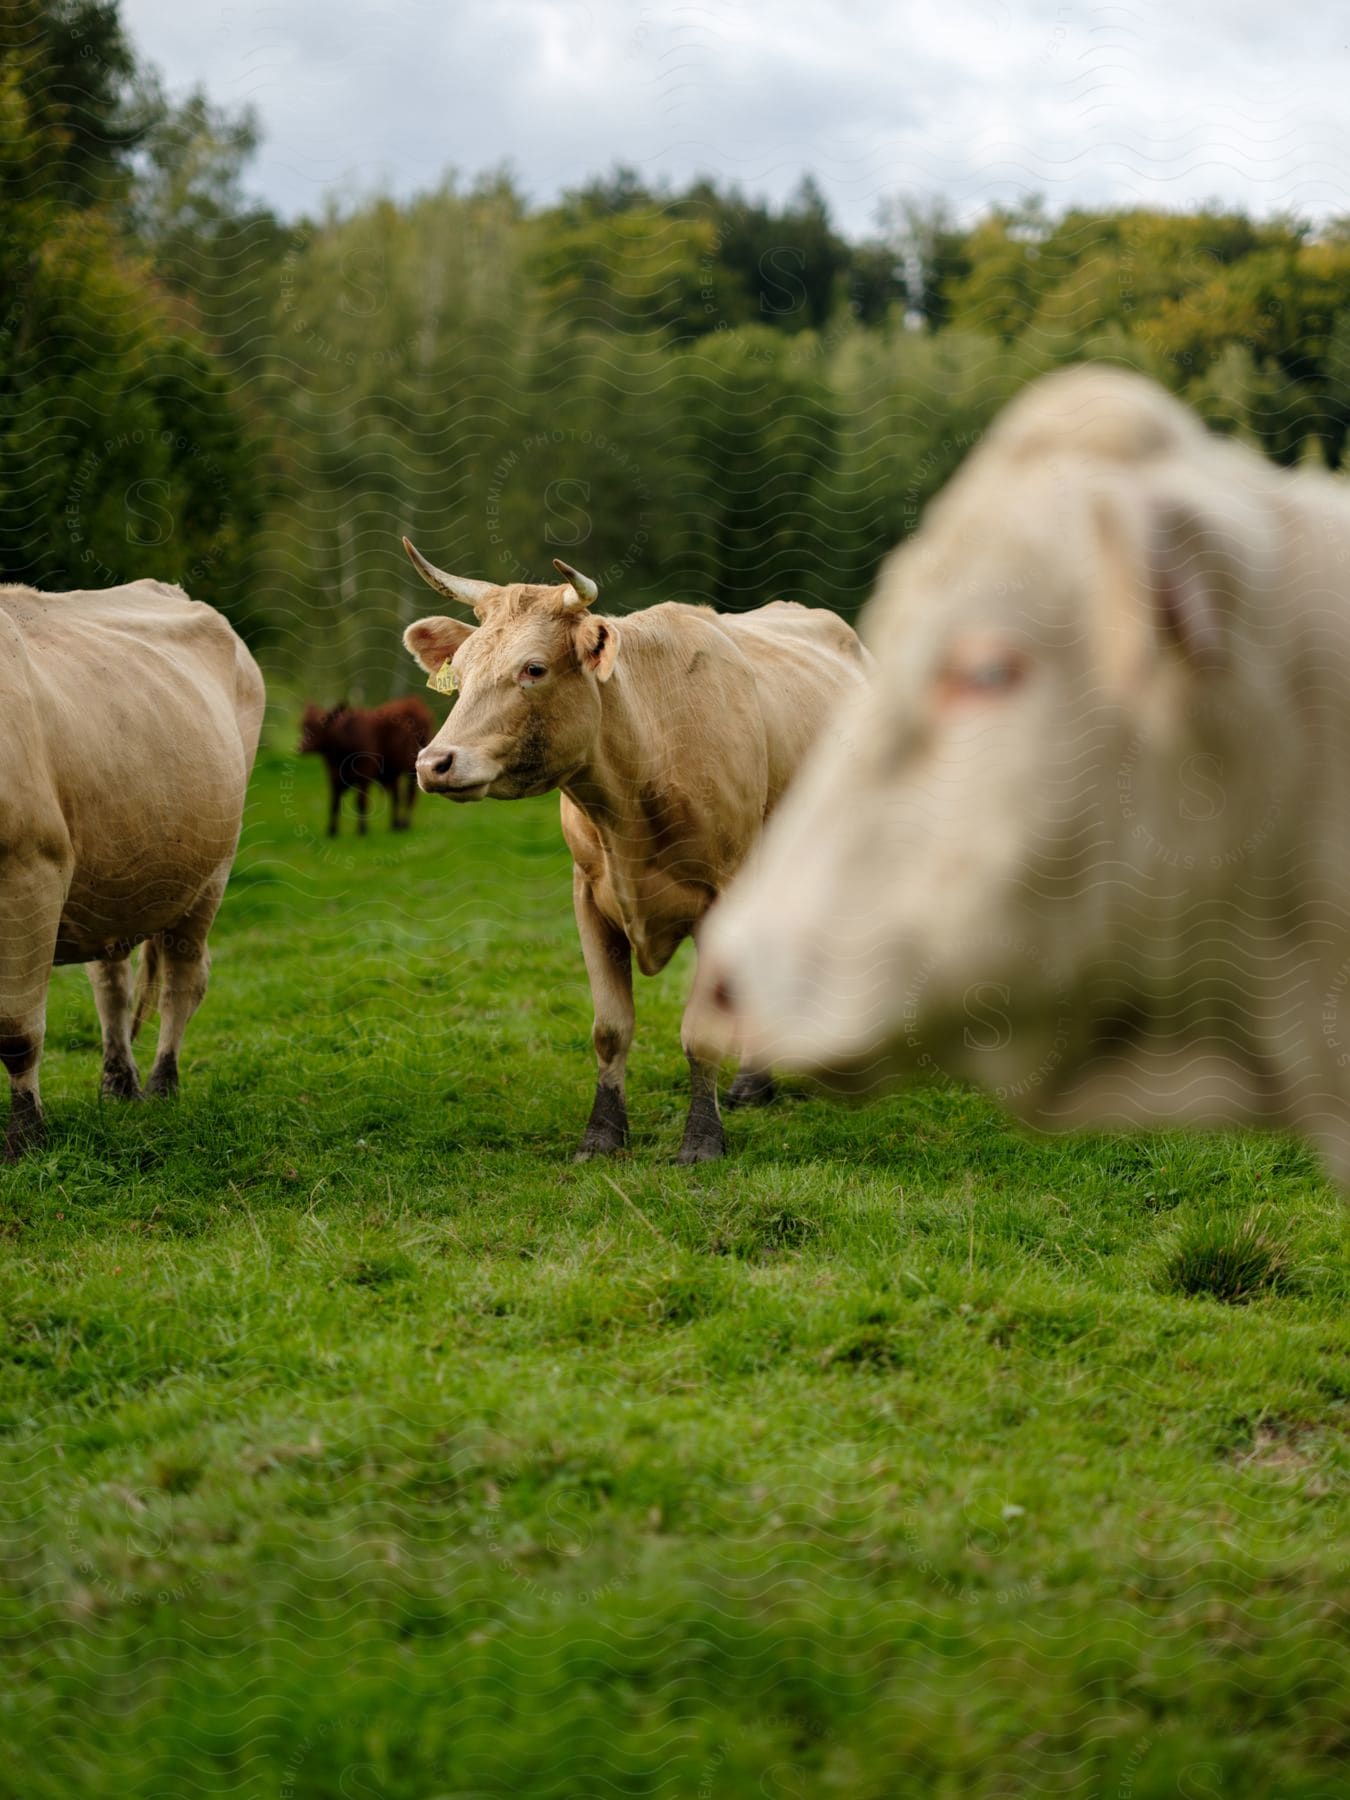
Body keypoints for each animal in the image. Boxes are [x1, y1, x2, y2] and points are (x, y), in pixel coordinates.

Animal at [0, 583, 266, 1159]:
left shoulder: (29, 873)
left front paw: (26, 1139)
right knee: (112, 984)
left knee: (183, 981)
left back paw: (164, 1086)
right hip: (111, 878)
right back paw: (118, 1084)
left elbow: (16, 1032)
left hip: (212, 870)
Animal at [297, 694, 433, 835]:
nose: (301, 747)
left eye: (320, 727)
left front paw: (362, 829)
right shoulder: (334, 777)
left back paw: (405, 822)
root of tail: (414, 700)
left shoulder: (364, 774)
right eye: (302, 726)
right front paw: (332, 831)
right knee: (397, 796)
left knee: (410, 795)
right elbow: (334, 803)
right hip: (393, 771)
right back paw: (395, 824)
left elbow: (361, 801)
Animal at [399, 532, 867, 1159]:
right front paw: (601, 1134)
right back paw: (753, 1083)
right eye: (464, 667)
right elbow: (610, 1028)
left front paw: (702, 1139)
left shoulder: (722, 898)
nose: (434, 762)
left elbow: (700, 1033)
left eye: (534, 668)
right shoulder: (589, 899)